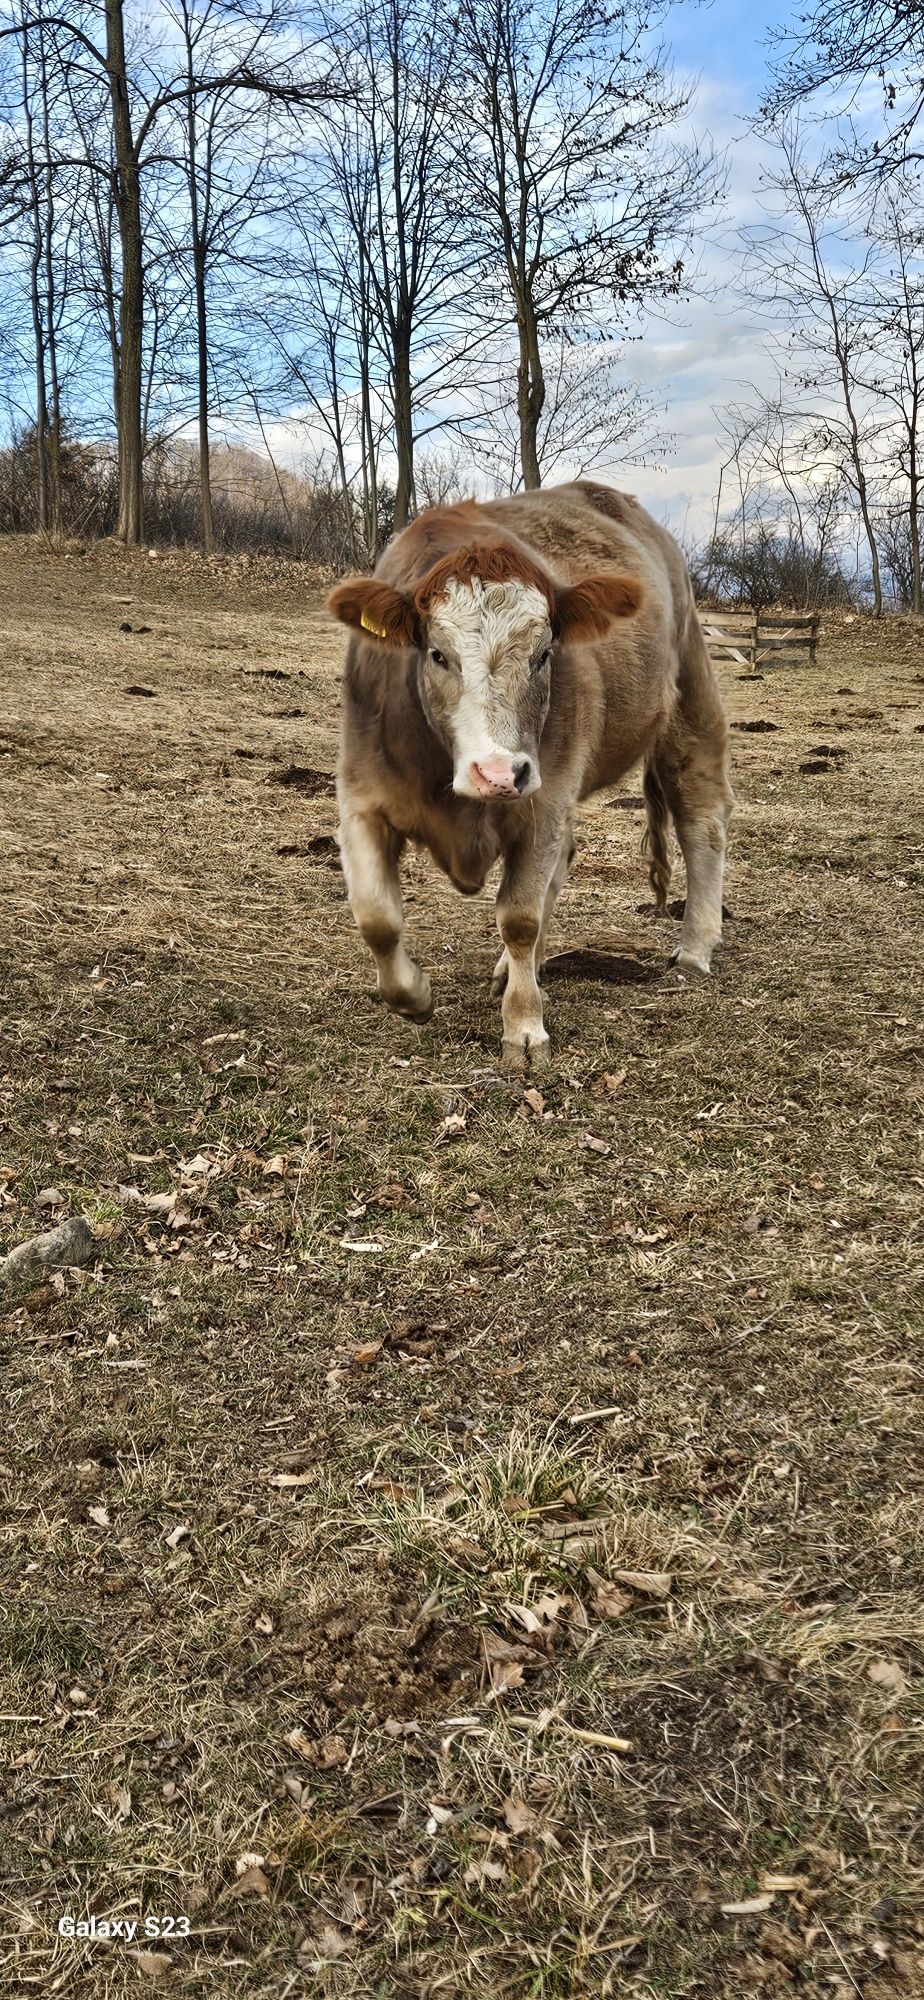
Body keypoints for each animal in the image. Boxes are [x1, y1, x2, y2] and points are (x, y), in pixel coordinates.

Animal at [328, 478, 732, 1072]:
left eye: (544, 654)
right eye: (437, 654)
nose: (499, 773)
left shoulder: (542, 800)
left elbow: (520, 917)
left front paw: (523, 1027)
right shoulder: (362, 796)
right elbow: (376, 917)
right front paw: (414, 994)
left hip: (688, 705)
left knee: (702, 822)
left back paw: (696, 947)